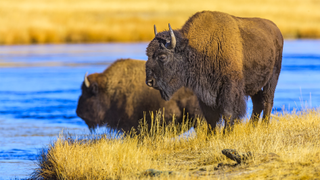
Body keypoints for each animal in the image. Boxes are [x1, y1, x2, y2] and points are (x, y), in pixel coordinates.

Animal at [146, 10, 284, 131]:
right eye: (147, 54)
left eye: (162, 56)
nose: (149, 82)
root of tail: (276, 30)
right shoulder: (204, 92)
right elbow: (210, 118)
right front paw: (210, 137)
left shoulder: (230, 88)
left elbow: (228, 113)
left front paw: (226, 134)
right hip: (252, 84)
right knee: (258, 101)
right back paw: (252, 126)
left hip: (273, 77)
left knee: (267, 99)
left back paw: (265, 125)